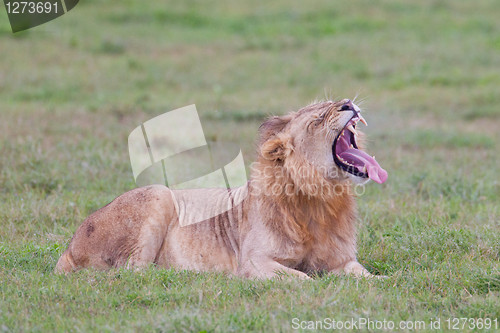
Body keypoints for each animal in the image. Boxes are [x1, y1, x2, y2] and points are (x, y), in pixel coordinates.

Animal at [56, 98, 388, 278]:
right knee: (132, 270)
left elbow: (371, 277)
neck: (322, 198)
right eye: (318, 119)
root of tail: (69, 248)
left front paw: (385, 281)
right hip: (158, 194)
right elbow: (305, 280)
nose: (349, 104)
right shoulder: (254, 262)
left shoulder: (343, 261)